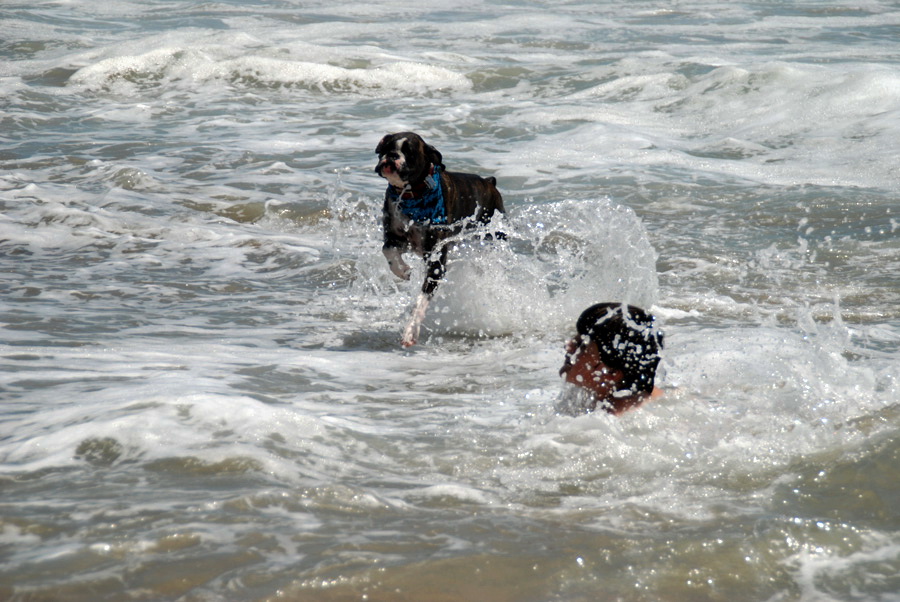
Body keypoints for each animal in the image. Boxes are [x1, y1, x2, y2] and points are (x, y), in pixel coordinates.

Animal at [372, 131, 506, 346]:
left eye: (409, 152)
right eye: (386, 148)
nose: (392, 156)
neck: (411, 194)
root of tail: (489, 182)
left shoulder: (436, 263)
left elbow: (421, 301)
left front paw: (411, 330)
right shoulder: (398, 239)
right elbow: (387, 250)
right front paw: (402, 270)